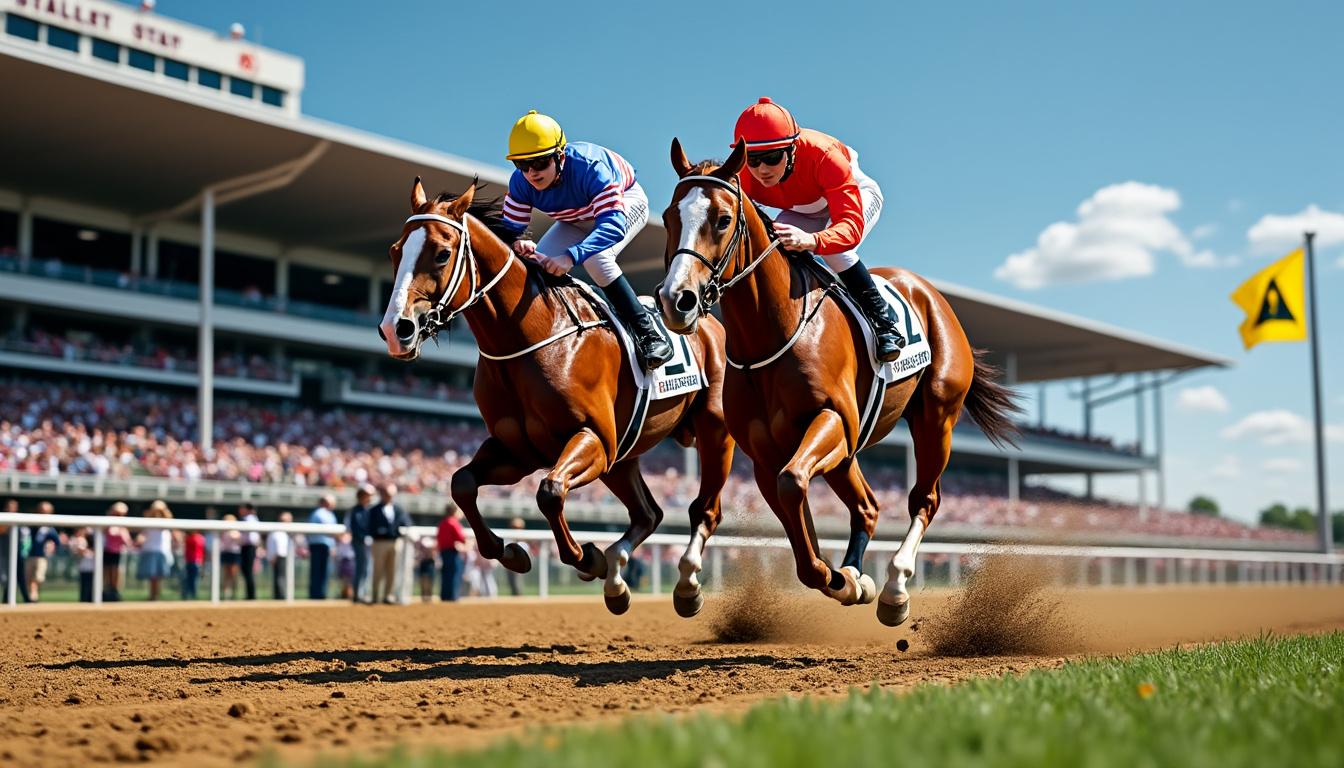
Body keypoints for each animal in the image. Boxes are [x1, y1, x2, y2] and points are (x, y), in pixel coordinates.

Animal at [378, 177, 736, 616]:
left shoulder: (593, 440)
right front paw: (511, 552)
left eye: (442, 254)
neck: (530, 336)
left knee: (705, 509)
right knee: (648, 514)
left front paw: (586, 558)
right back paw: (616, 581)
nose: (396, 330)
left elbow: (549, 493)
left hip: (713, 432)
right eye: (395, 251)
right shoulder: (519, 450)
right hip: (624, 455)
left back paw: (684, 585)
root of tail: (708, 322)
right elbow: (461, 483)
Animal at [656, 139, 1021, 626]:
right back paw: (858, 574)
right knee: (867, 507)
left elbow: (794, 486)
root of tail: (928, 292)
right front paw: (841, 578)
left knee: (924, 499)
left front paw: (841, 578)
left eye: (722, 219)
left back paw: (894, 587)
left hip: (935, 418)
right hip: (848, 452)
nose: (676, 300)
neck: (772, 332)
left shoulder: (831, 419)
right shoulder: (766, 455)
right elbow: (797, 518)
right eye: (668, 217)